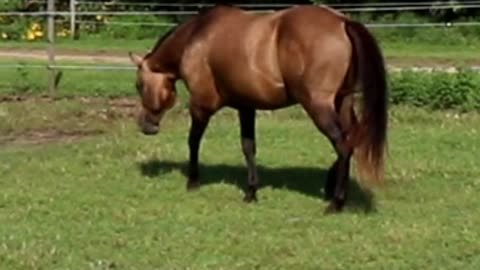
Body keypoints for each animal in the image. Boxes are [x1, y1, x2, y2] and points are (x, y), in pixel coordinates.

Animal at [129, 2, 388, 213]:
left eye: (139, 85)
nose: (145, 125)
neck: (197, 36)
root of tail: (342, 21)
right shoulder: (246, 106)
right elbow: (248, 147)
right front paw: (251, 192)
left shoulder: (201, 106)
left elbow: (193, 141)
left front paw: (193, 181)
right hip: (342, 102)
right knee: (352, 139)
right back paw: (331, 187)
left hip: (318, 105)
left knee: (342, 144)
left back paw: (336, 202)